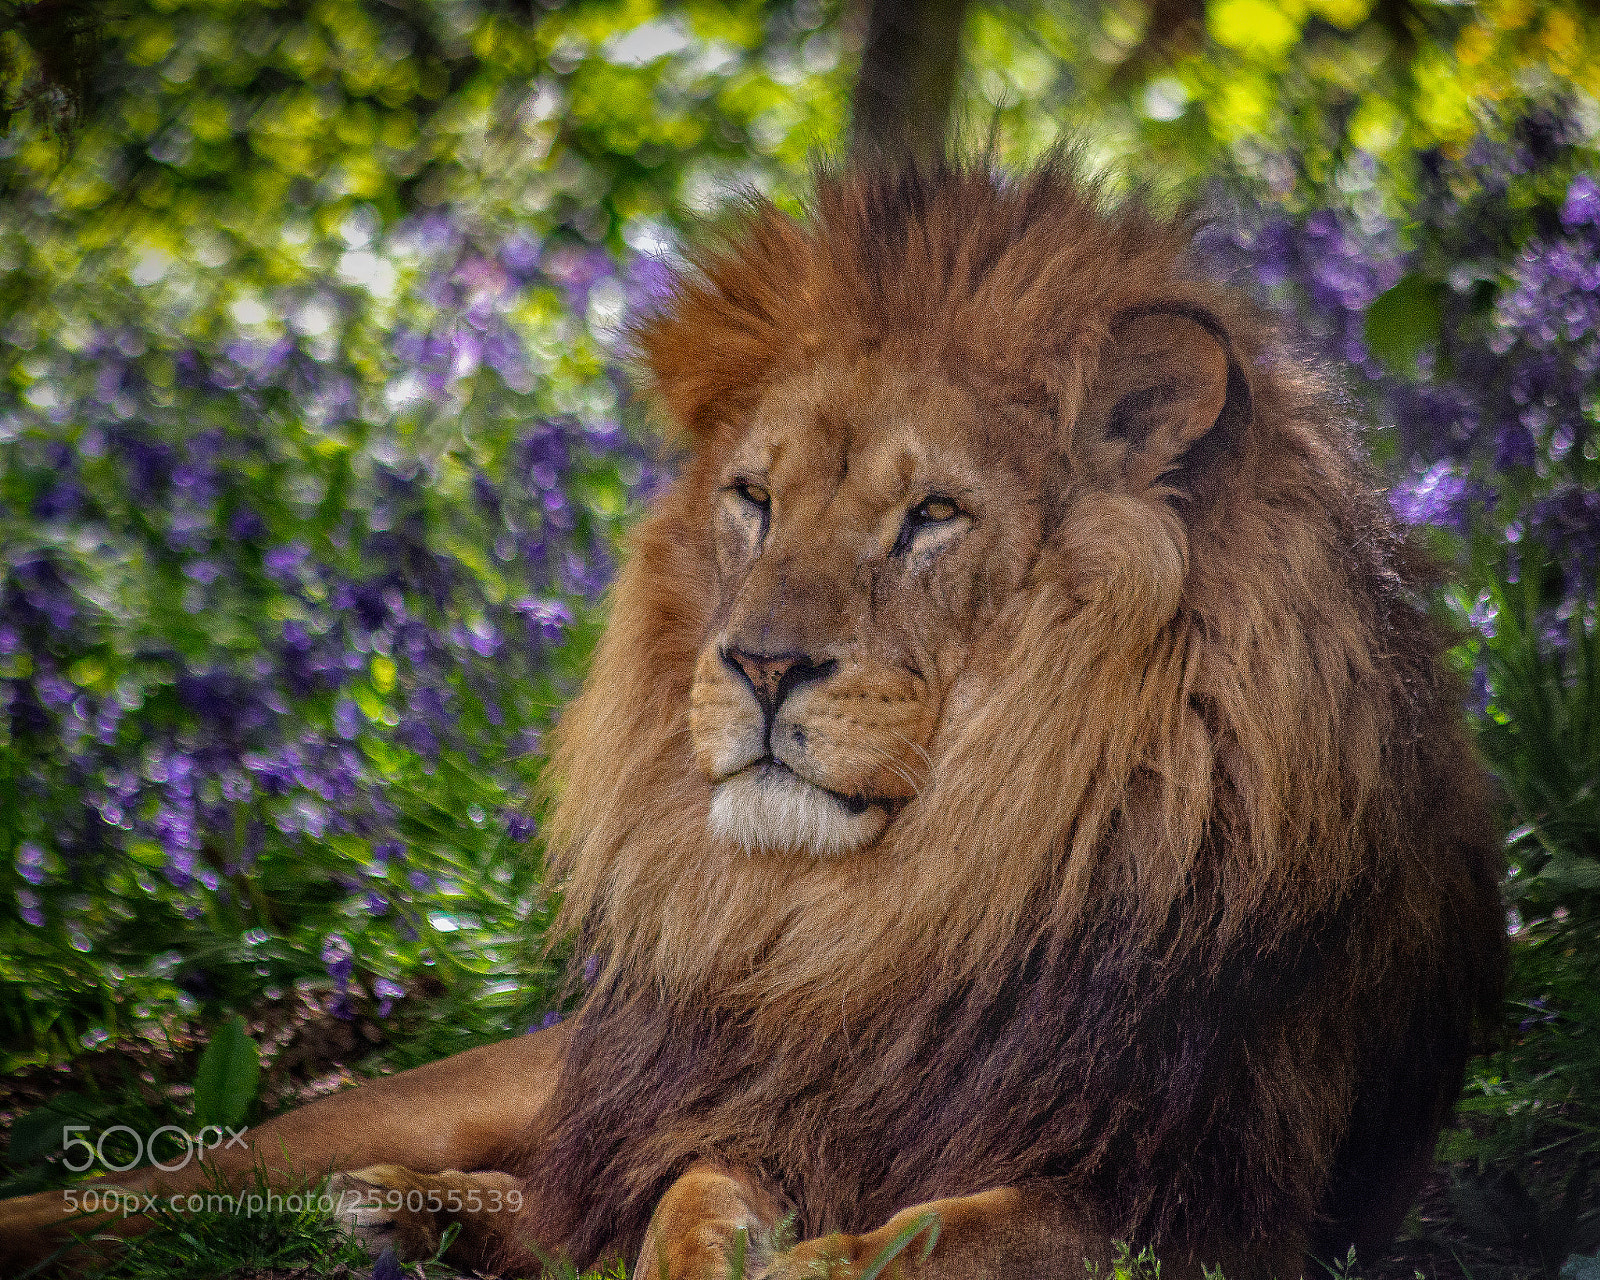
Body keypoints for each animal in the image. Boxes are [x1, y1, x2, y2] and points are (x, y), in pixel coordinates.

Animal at [1, 158, 1506, 1280]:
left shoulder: (1191, 1197)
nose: (763, 665)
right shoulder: (739, 1096)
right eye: (754, 499)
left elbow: (919, 1240)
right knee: (200, 1174)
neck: (891, 912)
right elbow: (683, 1196)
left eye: (931, 516)